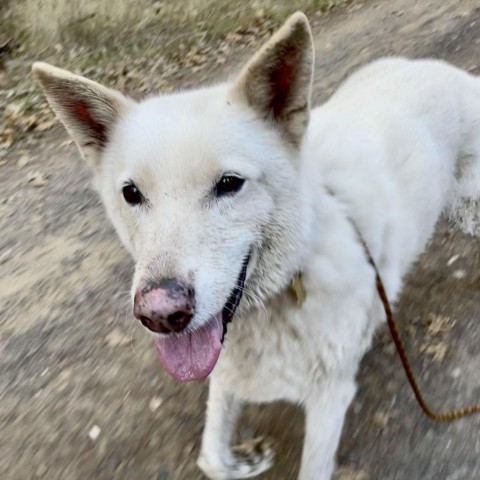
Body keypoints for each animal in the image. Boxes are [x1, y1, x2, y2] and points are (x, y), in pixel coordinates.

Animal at [32, 12, 480, 480]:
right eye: (131, 193)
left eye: (230, 183)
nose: (160, 315)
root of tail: (445, 71)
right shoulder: (225, 374)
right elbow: (211, 457)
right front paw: (244, 461)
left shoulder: (330, 398)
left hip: (468, 207)